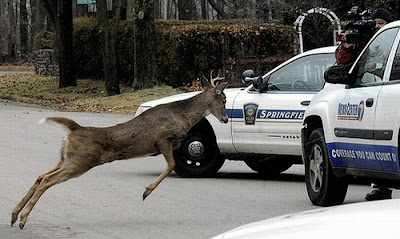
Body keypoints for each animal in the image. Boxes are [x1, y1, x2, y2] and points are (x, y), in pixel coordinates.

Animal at [10, 74, 228, 229]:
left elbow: (172, 163)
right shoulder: (162, 139)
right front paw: (146, 192)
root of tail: (75, 129)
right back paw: (22, 219)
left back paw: (14, 215)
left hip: (66, 158)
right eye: (224, 99)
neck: (184, 116)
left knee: (41, 175)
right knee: (47, 179)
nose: (226, 119)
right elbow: (172, 164)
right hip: (80, 161)